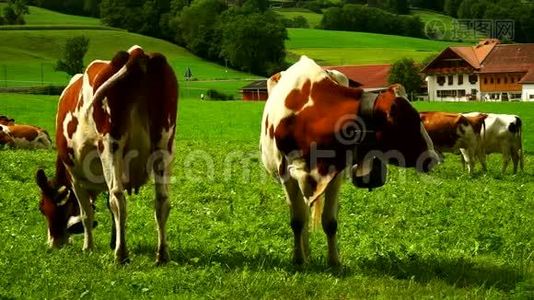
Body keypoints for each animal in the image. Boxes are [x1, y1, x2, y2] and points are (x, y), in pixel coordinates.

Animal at [34, 45, 179, 264]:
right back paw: (161, 254)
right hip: (164, 143)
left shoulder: (75, 176)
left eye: (43, 207)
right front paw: (112, 240)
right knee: (161, 199)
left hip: (110, 145)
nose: (53, 244)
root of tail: (138, 53)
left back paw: (121, 254)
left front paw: (88, 247)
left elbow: (87, 213)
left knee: (117, 197)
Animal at [260, 56, 440, 268]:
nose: (433, 157)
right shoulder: (286, 176)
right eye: (408, 122)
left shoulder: (334, 175)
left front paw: (334, 262)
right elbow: (297, 221)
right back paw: (306, 253)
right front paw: (298, 260)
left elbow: (329, 222)